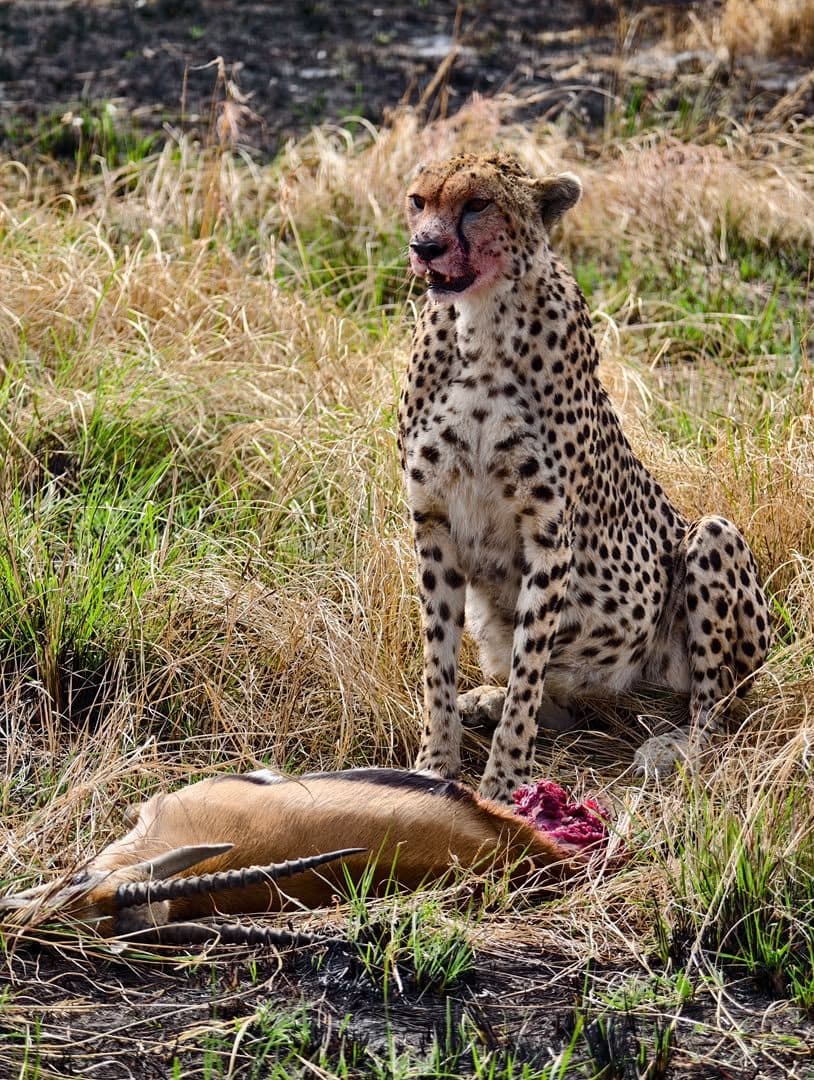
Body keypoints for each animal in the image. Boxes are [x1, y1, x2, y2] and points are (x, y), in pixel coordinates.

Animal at [397, 152, 770, 805]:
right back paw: (486, 699)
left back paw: (674, 747)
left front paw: (504, 784)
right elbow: (437, 660)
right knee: (556, 698)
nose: (425, 246)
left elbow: (529, 670)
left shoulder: (549, 535)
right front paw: (435, 764)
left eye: (477, 204)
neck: (480, 324)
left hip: (713, 540)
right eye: (419, 201)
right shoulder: (433, 523)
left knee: (714, 707)